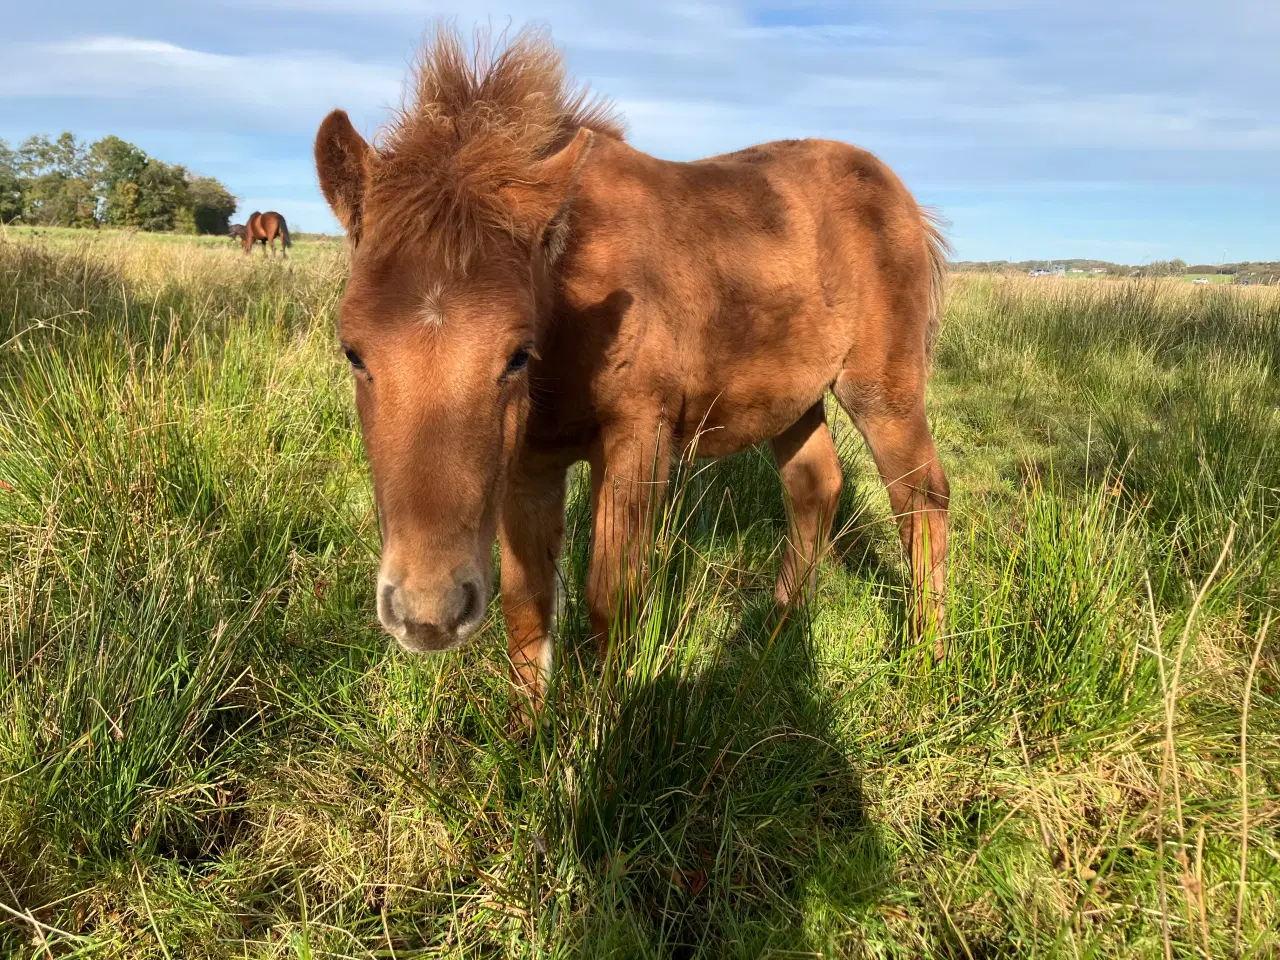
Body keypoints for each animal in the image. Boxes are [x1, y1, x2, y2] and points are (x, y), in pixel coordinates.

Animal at [311, 24, 952, 716]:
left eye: (517, 354)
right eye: (353, 351)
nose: (428, 613)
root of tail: (905, 203)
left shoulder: (639, 437)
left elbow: (610, 599)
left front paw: (612, 723)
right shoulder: (528, 465)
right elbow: (527, 610)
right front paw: (530, 738)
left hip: (882, 390)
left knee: (922, 497)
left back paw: (928, 660)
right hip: (793, 398)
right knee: (815, 486)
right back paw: (779, 633)